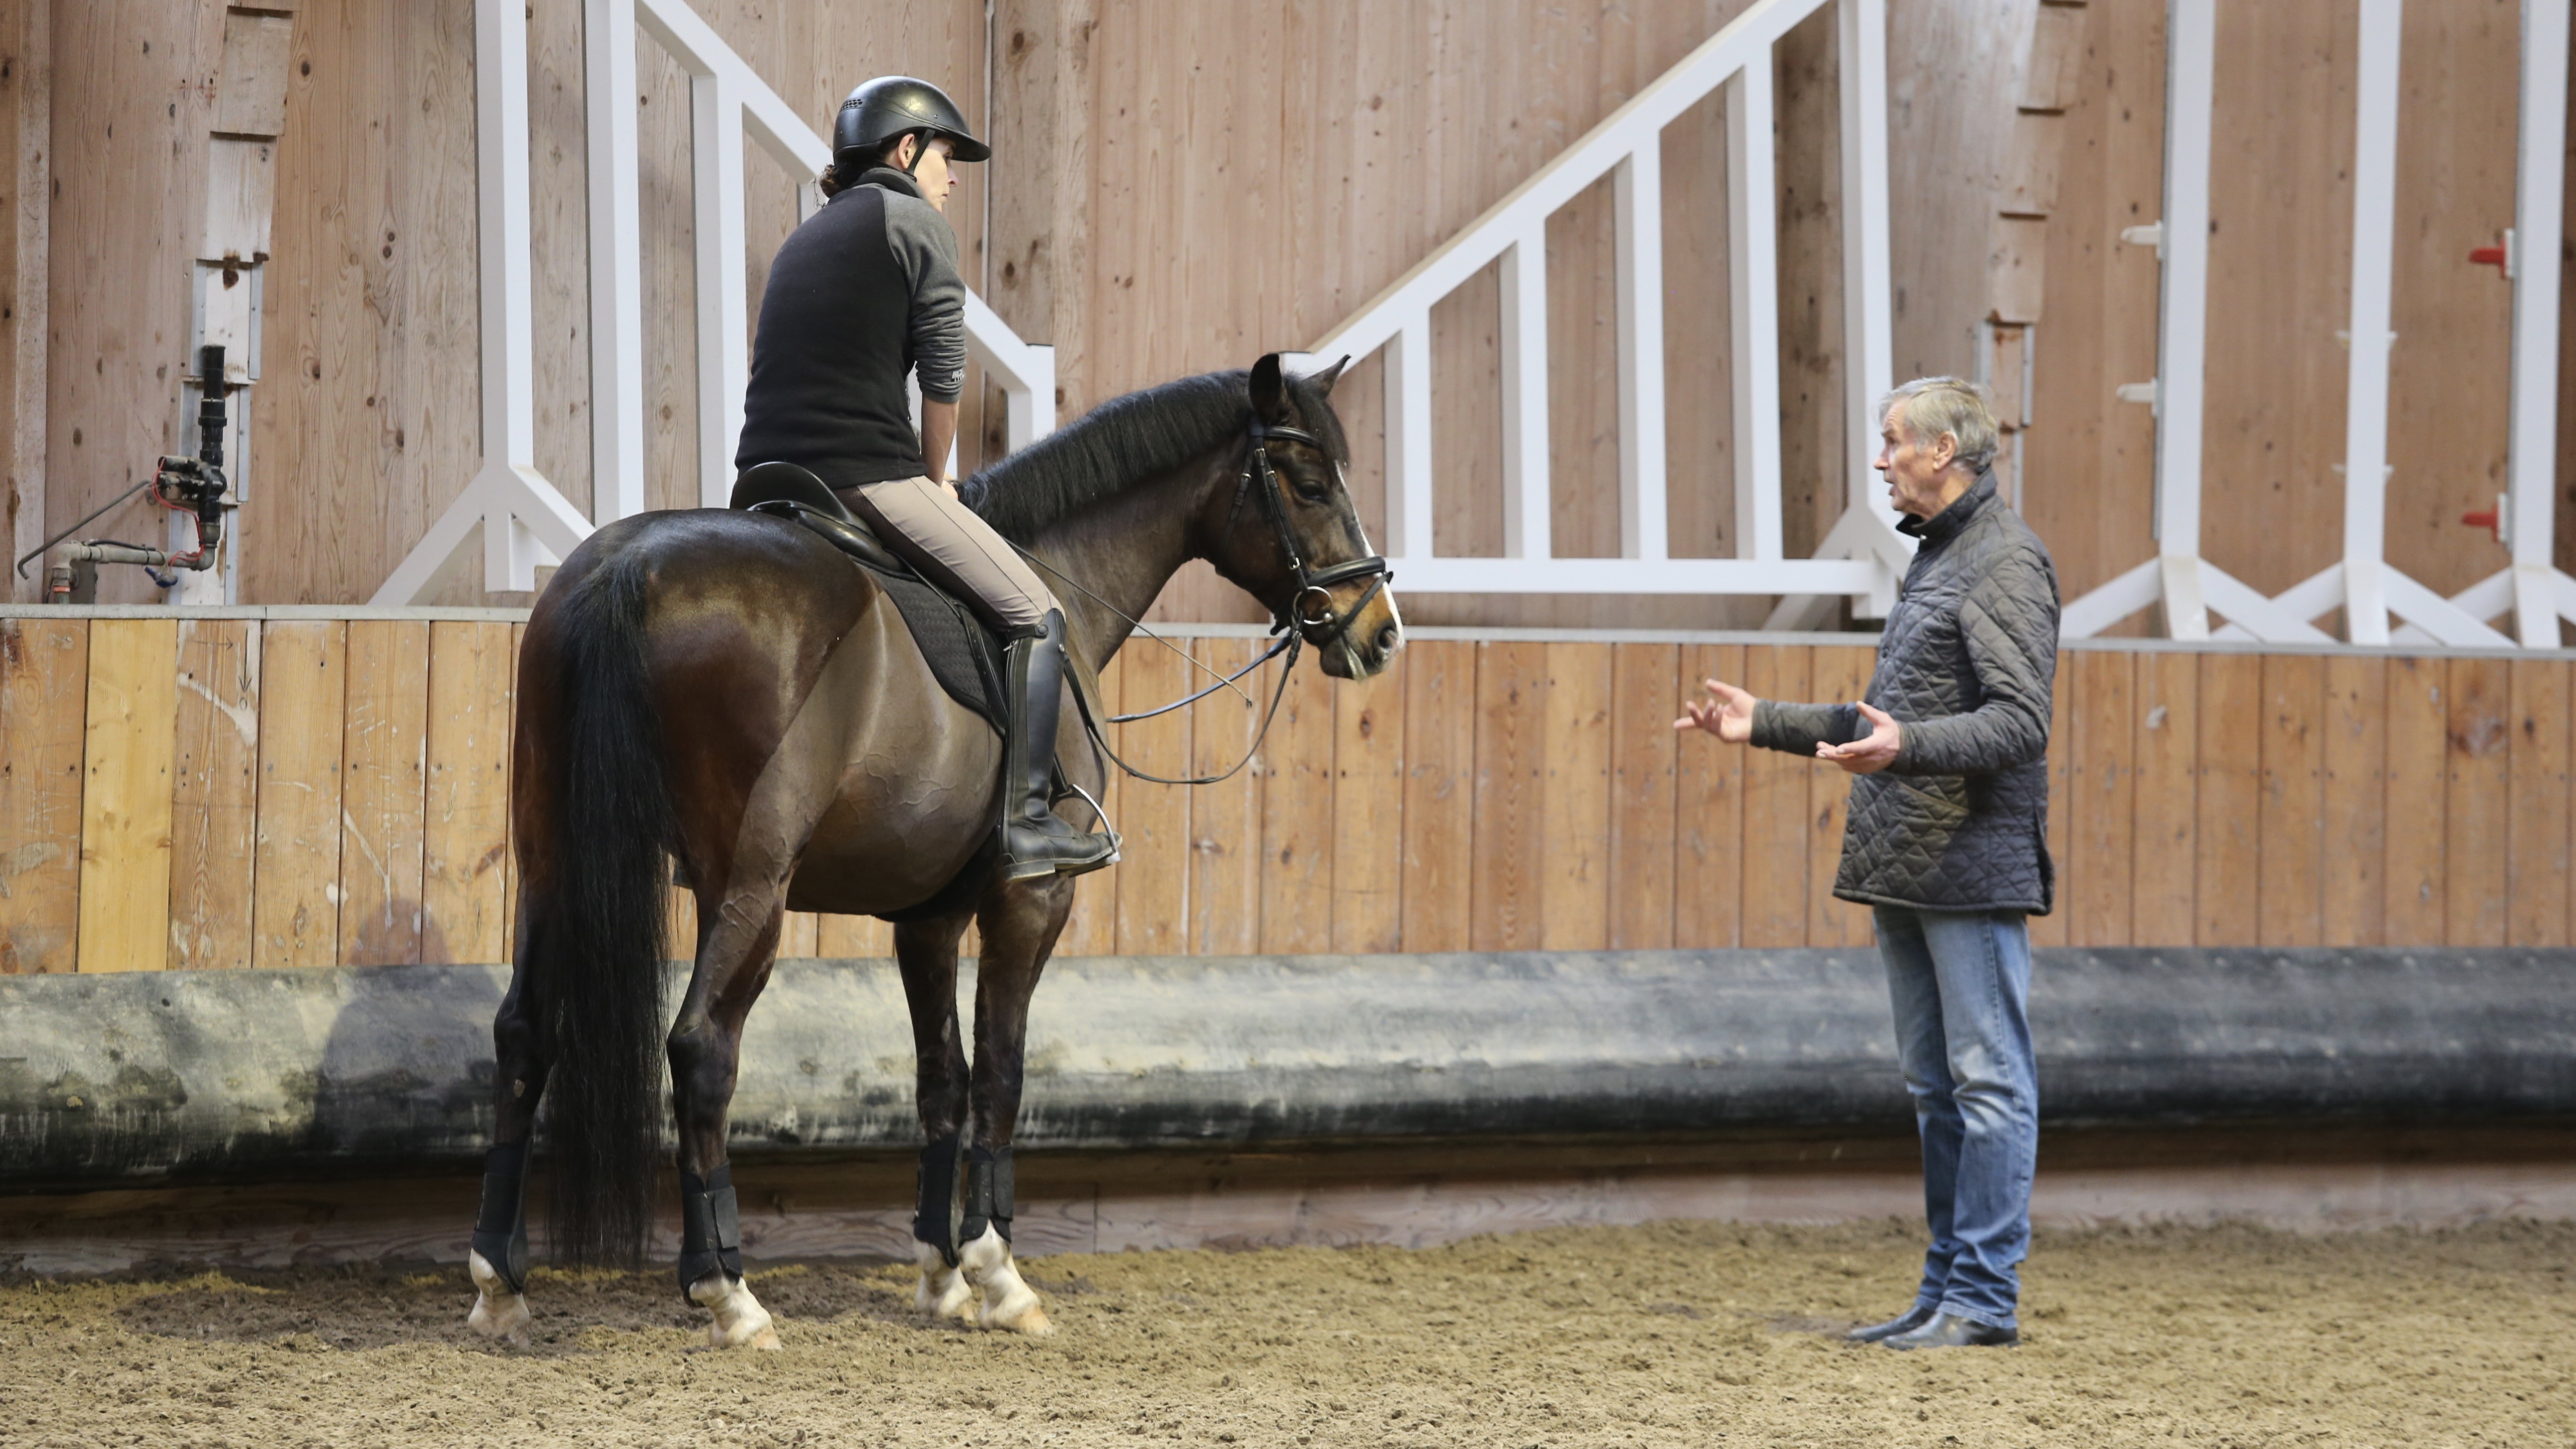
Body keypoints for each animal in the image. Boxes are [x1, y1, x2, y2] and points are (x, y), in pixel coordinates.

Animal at [453, 350, 1401, 1341]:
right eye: (1308, 484)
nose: (1379, 631)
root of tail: (632, 566)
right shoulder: (1031, 899)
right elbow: (1001, 1074)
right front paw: (996, 1272)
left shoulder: (929, 916)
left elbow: (941, 1077)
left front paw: (941, 1272)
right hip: (747, 885)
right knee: (701, 1049)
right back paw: (730, 1294)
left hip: (553, 864)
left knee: (524, 1035)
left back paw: (498, 1281)